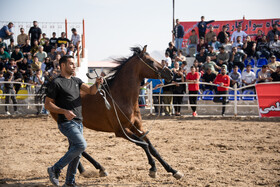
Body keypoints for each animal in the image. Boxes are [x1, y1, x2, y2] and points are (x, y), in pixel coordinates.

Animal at [51, 45, 184, 180]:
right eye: (150, 61)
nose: (170, 73)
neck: (122, 98)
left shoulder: (137, 127)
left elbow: (152, 147)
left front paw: (173, 171)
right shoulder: (121, 131)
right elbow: (143, 144)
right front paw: (153, 168)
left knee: (75, 148)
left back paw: (87, 170)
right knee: (76, 148)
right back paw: (98, 168)